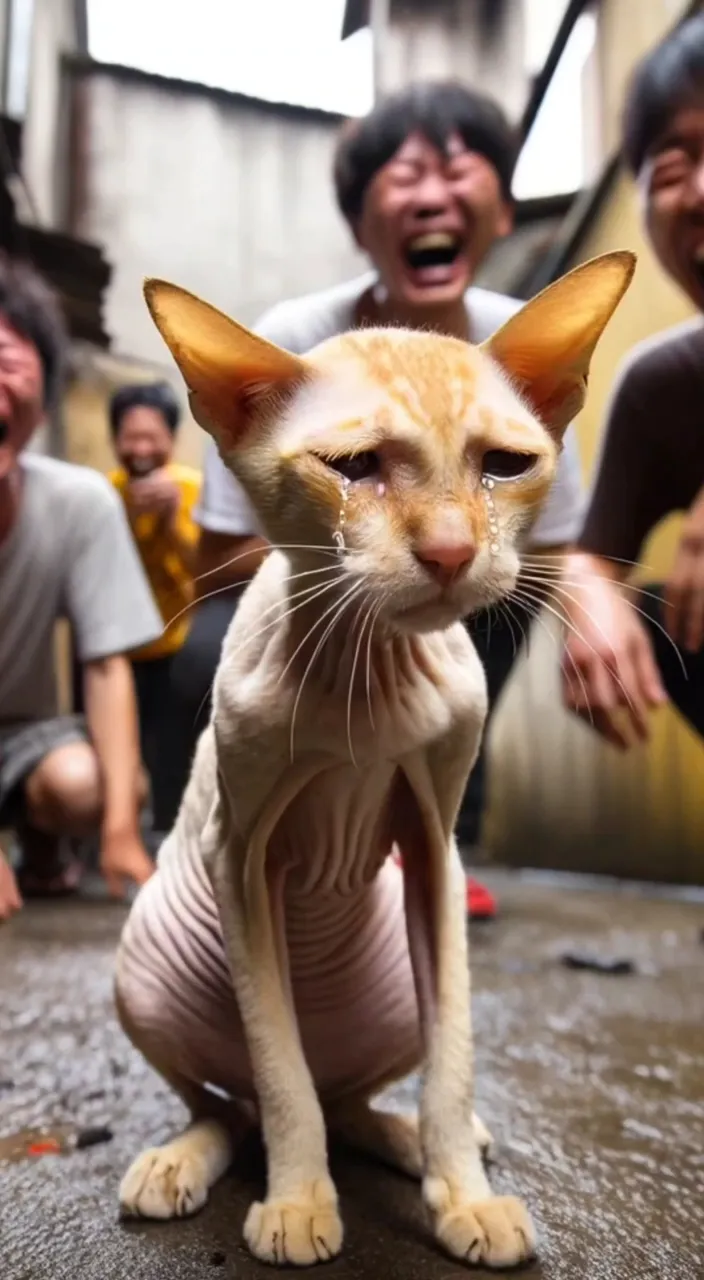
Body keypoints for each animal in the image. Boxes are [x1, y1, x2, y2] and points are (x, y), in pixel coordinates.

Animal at [114, 252, 634, 1269]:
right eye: (353, 468)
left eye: (505, 465)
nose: (452, 549)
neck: (368, 677)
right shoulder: (240, 858)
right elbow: (280, 1069)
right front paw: (298, 1201)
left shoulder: (436, 850)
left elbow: (454, 1060)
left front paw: (463, 1195)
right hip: (141, 972)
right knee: (234, 1102)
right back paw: (184, 1158)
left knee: (349, 1094)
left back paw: (408, 1141)